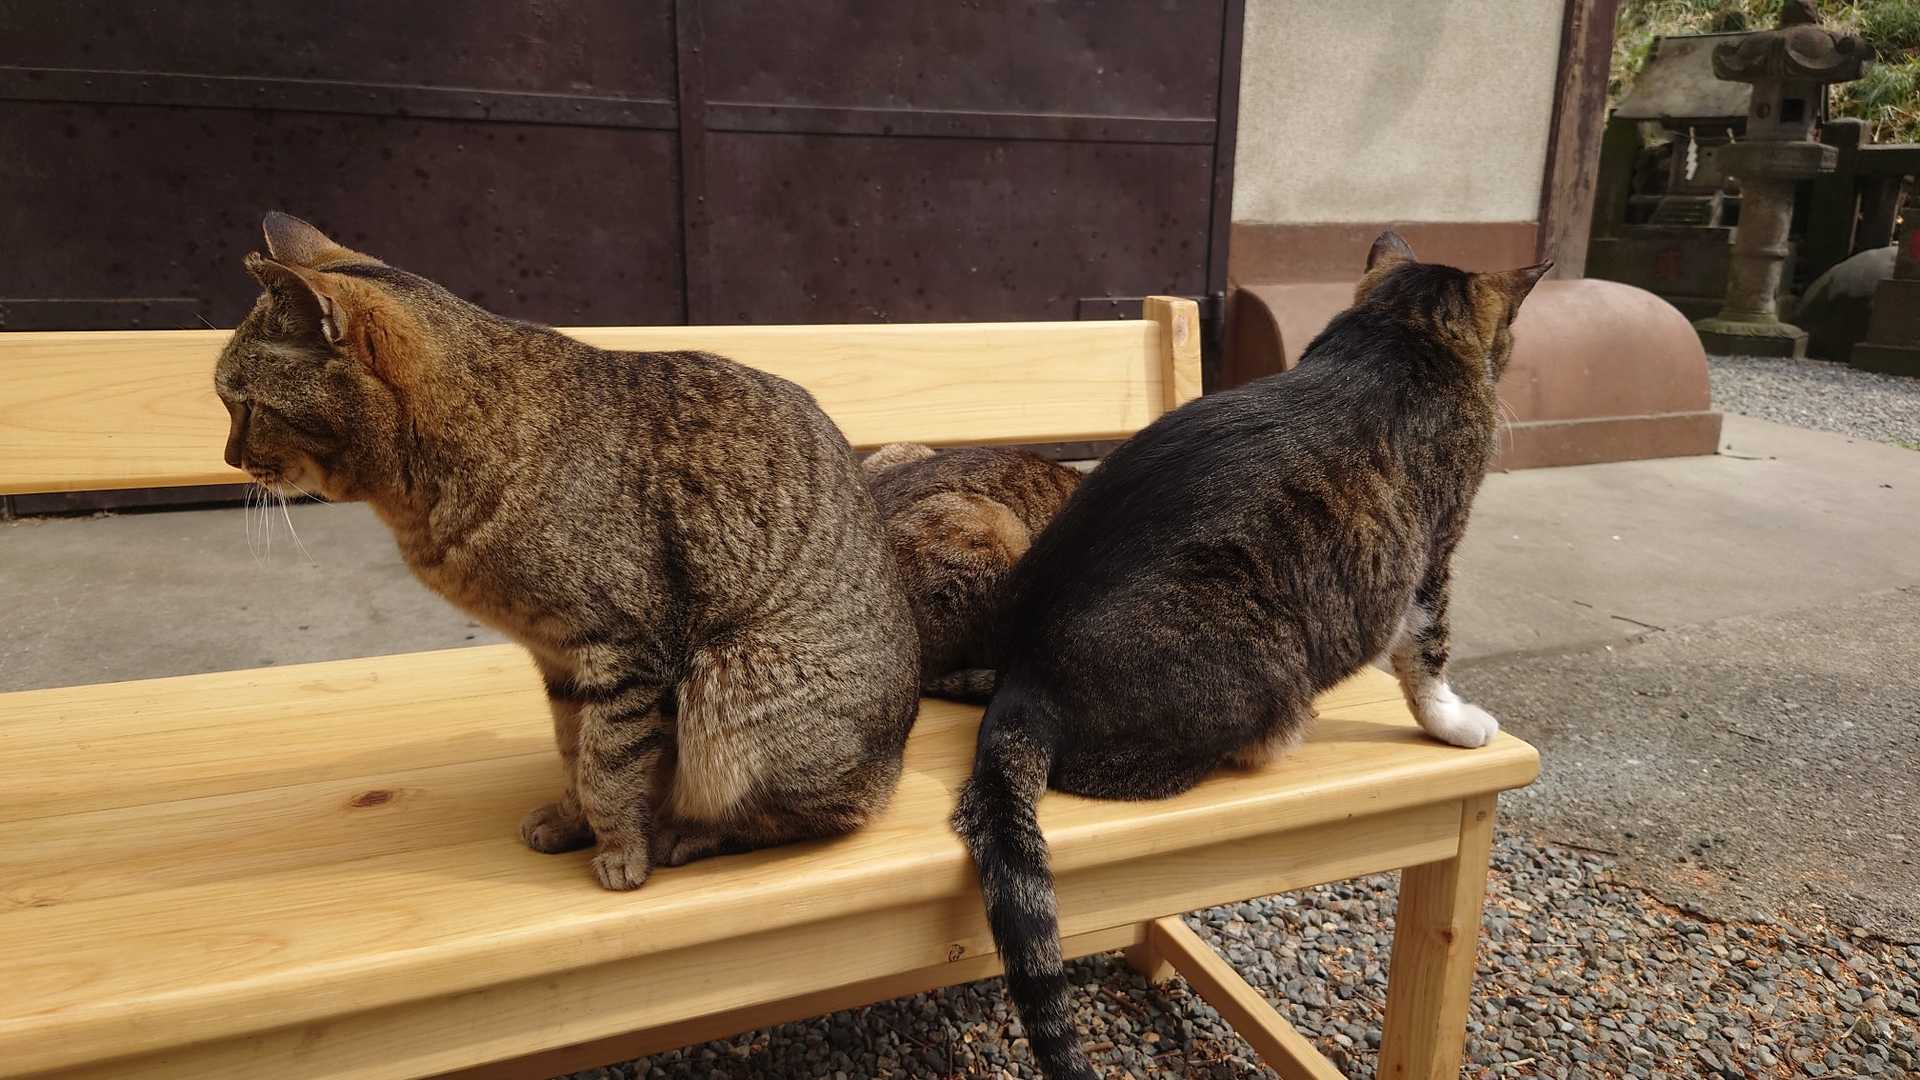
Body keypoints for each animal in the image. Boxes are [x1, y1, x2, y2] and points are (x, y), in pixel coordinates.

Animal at [213, 212, 920, 891]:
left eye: (243, 405)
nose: (228, 457)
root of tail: (892, 767)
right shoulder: (559, 659)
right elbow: (573, 749)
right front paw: (572, 820)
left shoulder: (624, 650)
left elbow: (610, 765)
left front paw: (621, 850)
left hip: (732, 679)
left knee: (819, 816)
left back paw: (690, 832)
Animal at [951, 232, 1550, 1078]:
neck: (1398, 330)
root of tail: (1025, 685)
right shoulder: (1432, 554)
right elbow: (1427, 655)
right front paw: (1453, 722)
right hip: (1261, 660)